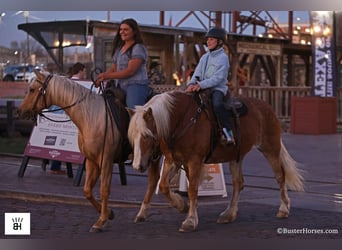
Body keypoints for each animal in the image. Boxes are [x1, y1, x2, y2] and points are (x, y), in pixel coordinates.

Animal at [16, 70, 128, 232]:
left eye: (31, 90)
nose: (19, 111)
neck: (92, 118)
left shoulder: (106, 160)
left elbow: (104, 190)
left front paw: (101, 221)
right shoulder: (91, 161)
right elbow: (87, 190)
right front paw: (108, 213)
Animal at [128, 90, 304, 232]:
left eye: (146, 136)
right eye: (132, 136)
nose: (137, 165)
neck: (182, 120)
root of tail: (267, 107)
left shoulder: (194, 161)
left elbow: (192, 190)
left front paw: (190, 221)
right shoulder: (173, 160)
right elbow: (164, 186)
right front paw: (181, 206)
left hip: (270, 148)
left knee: (280, 177)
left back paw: (284, 209)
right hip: (236, 157)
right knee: (238, 183)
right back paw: (229, 214)